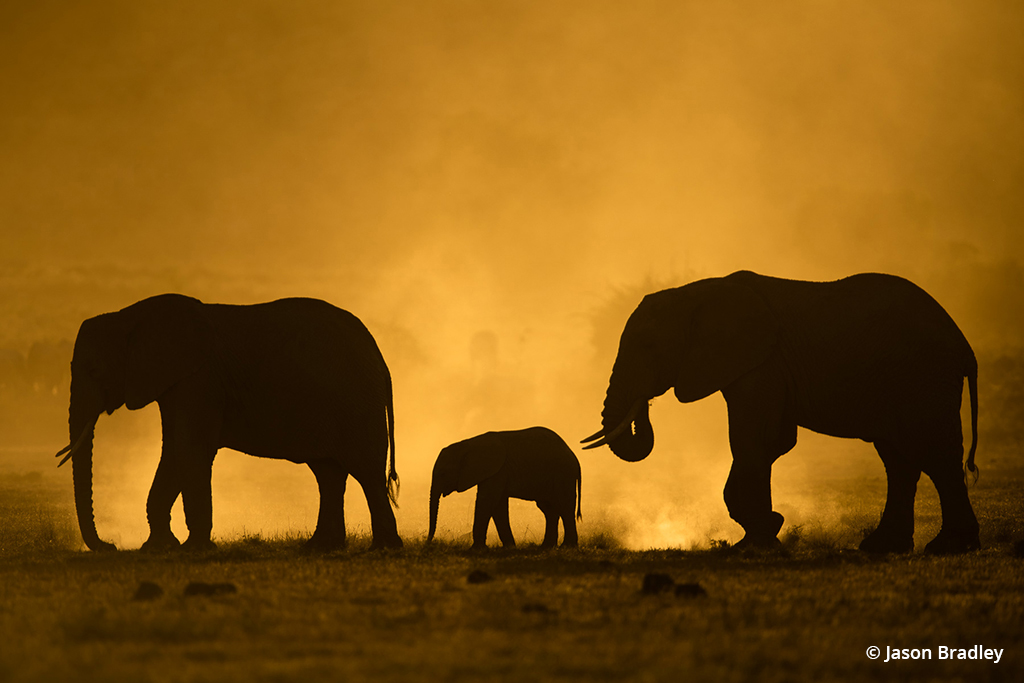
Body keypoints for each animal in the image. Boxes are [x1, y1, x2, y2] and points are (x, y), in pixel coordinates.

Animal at [54, 296, 401, 552]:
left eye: (95, 370)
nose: (109, 546)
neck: (129, 316)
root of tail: (379, 354)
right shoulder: (176, 383)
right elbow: (175, 449)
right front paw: (158, 548)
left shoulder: (200, 380)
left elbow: (190, 448)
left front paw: (192, 550)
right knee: (328, 473)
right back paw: (319, 548)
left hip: (356, 401)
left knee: (366, 472)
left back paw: (383, 548)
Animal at [425, 428, 585, 548]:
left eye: (443, 473)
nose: (427, 543)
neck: (468, 444)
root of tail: (575, 458)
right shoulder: (495, 473)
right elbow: (497, 506)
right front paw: (509, 547)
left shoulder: (497, 471)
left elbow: (487, 502)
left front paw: (476, 549)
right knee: (550, 509)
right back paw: (546, 547)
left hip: (563, 475)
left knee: (564, 507)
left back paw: (567, 546)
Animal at [581, 270, 978, 557]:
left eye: (648, 346)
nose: (645, 405)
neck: (697, 293)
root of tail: (963, 344)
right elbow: (772, 443)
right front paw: (765, 533)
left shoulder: (761, 364)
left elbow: (755, 440)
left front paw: (758, 540)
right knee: (900, 461)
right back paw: (883, 548)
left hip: (924, 376)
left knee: (935, 454)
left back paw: (949, 548)